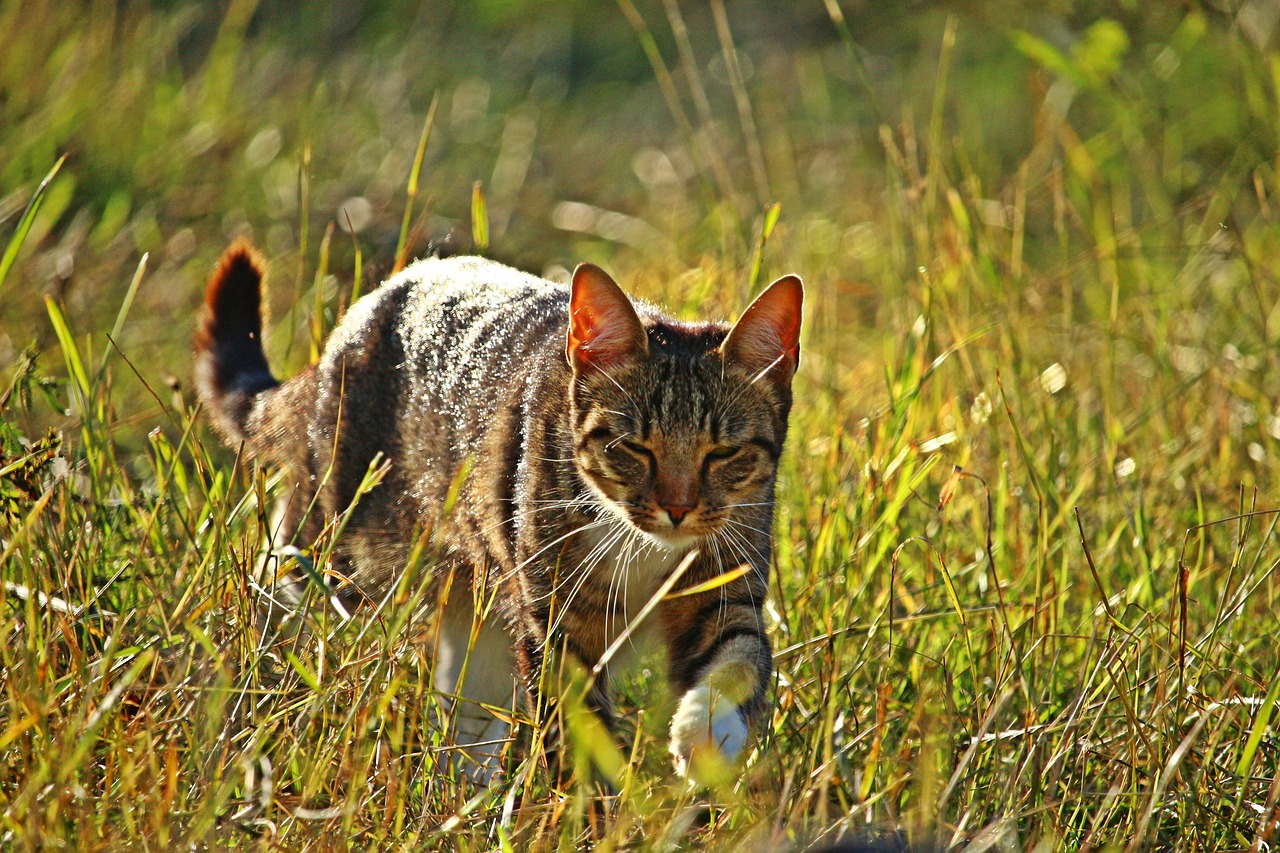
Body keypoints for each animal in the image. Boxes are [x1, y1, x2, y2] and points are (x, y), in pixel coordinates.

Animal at [192, 240, 798, 783]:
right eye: (632, 447)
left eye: (723, 452)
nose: (677, 507)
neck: (643, 546)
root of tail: (358, 318)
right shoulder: (553, 622)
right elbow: (577, 738)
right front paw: (590, 814)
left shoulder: (726, 587)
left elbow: (740, 658)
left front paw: (706, 732)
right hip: (336, 551)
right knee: (276, 596)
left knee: (467, 715)